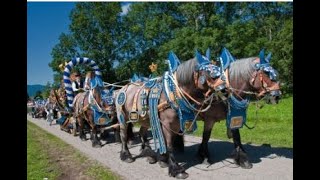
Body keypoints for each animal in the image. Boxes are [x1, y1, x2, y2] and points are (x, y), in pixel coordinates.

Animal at [116, 50, 226, 179]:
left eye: (219, 69)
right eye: (210, 73)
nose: (225, 89)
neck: (174, 93)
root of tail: (122, 88)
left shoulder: (176, 124)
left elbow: (168, 141)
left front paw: (163, 160)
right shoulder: (167, 123)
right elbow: (169, 145)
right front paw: (176, 169)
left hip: (146, 119)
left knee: (142, 133)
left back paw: (149, 154)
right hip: (122, 117)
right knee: (123, 135)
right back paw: (126, 155)